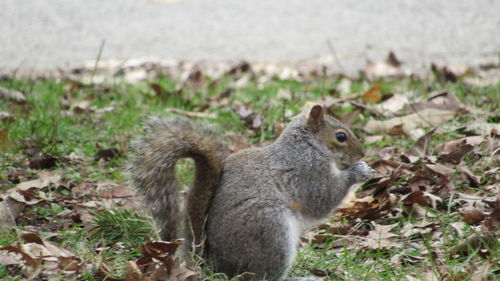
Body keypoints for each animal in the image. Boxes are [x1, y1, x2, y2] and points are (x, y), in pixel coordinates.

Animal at [131, 104, 374, 280]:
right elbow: (322, 199)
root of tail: (213, 265)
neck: (308, 147)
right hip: (270, 228)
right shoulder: (306, 173)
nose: (362, 153)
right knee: (262, 277)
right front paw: (359, 171)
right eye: (341, 136)